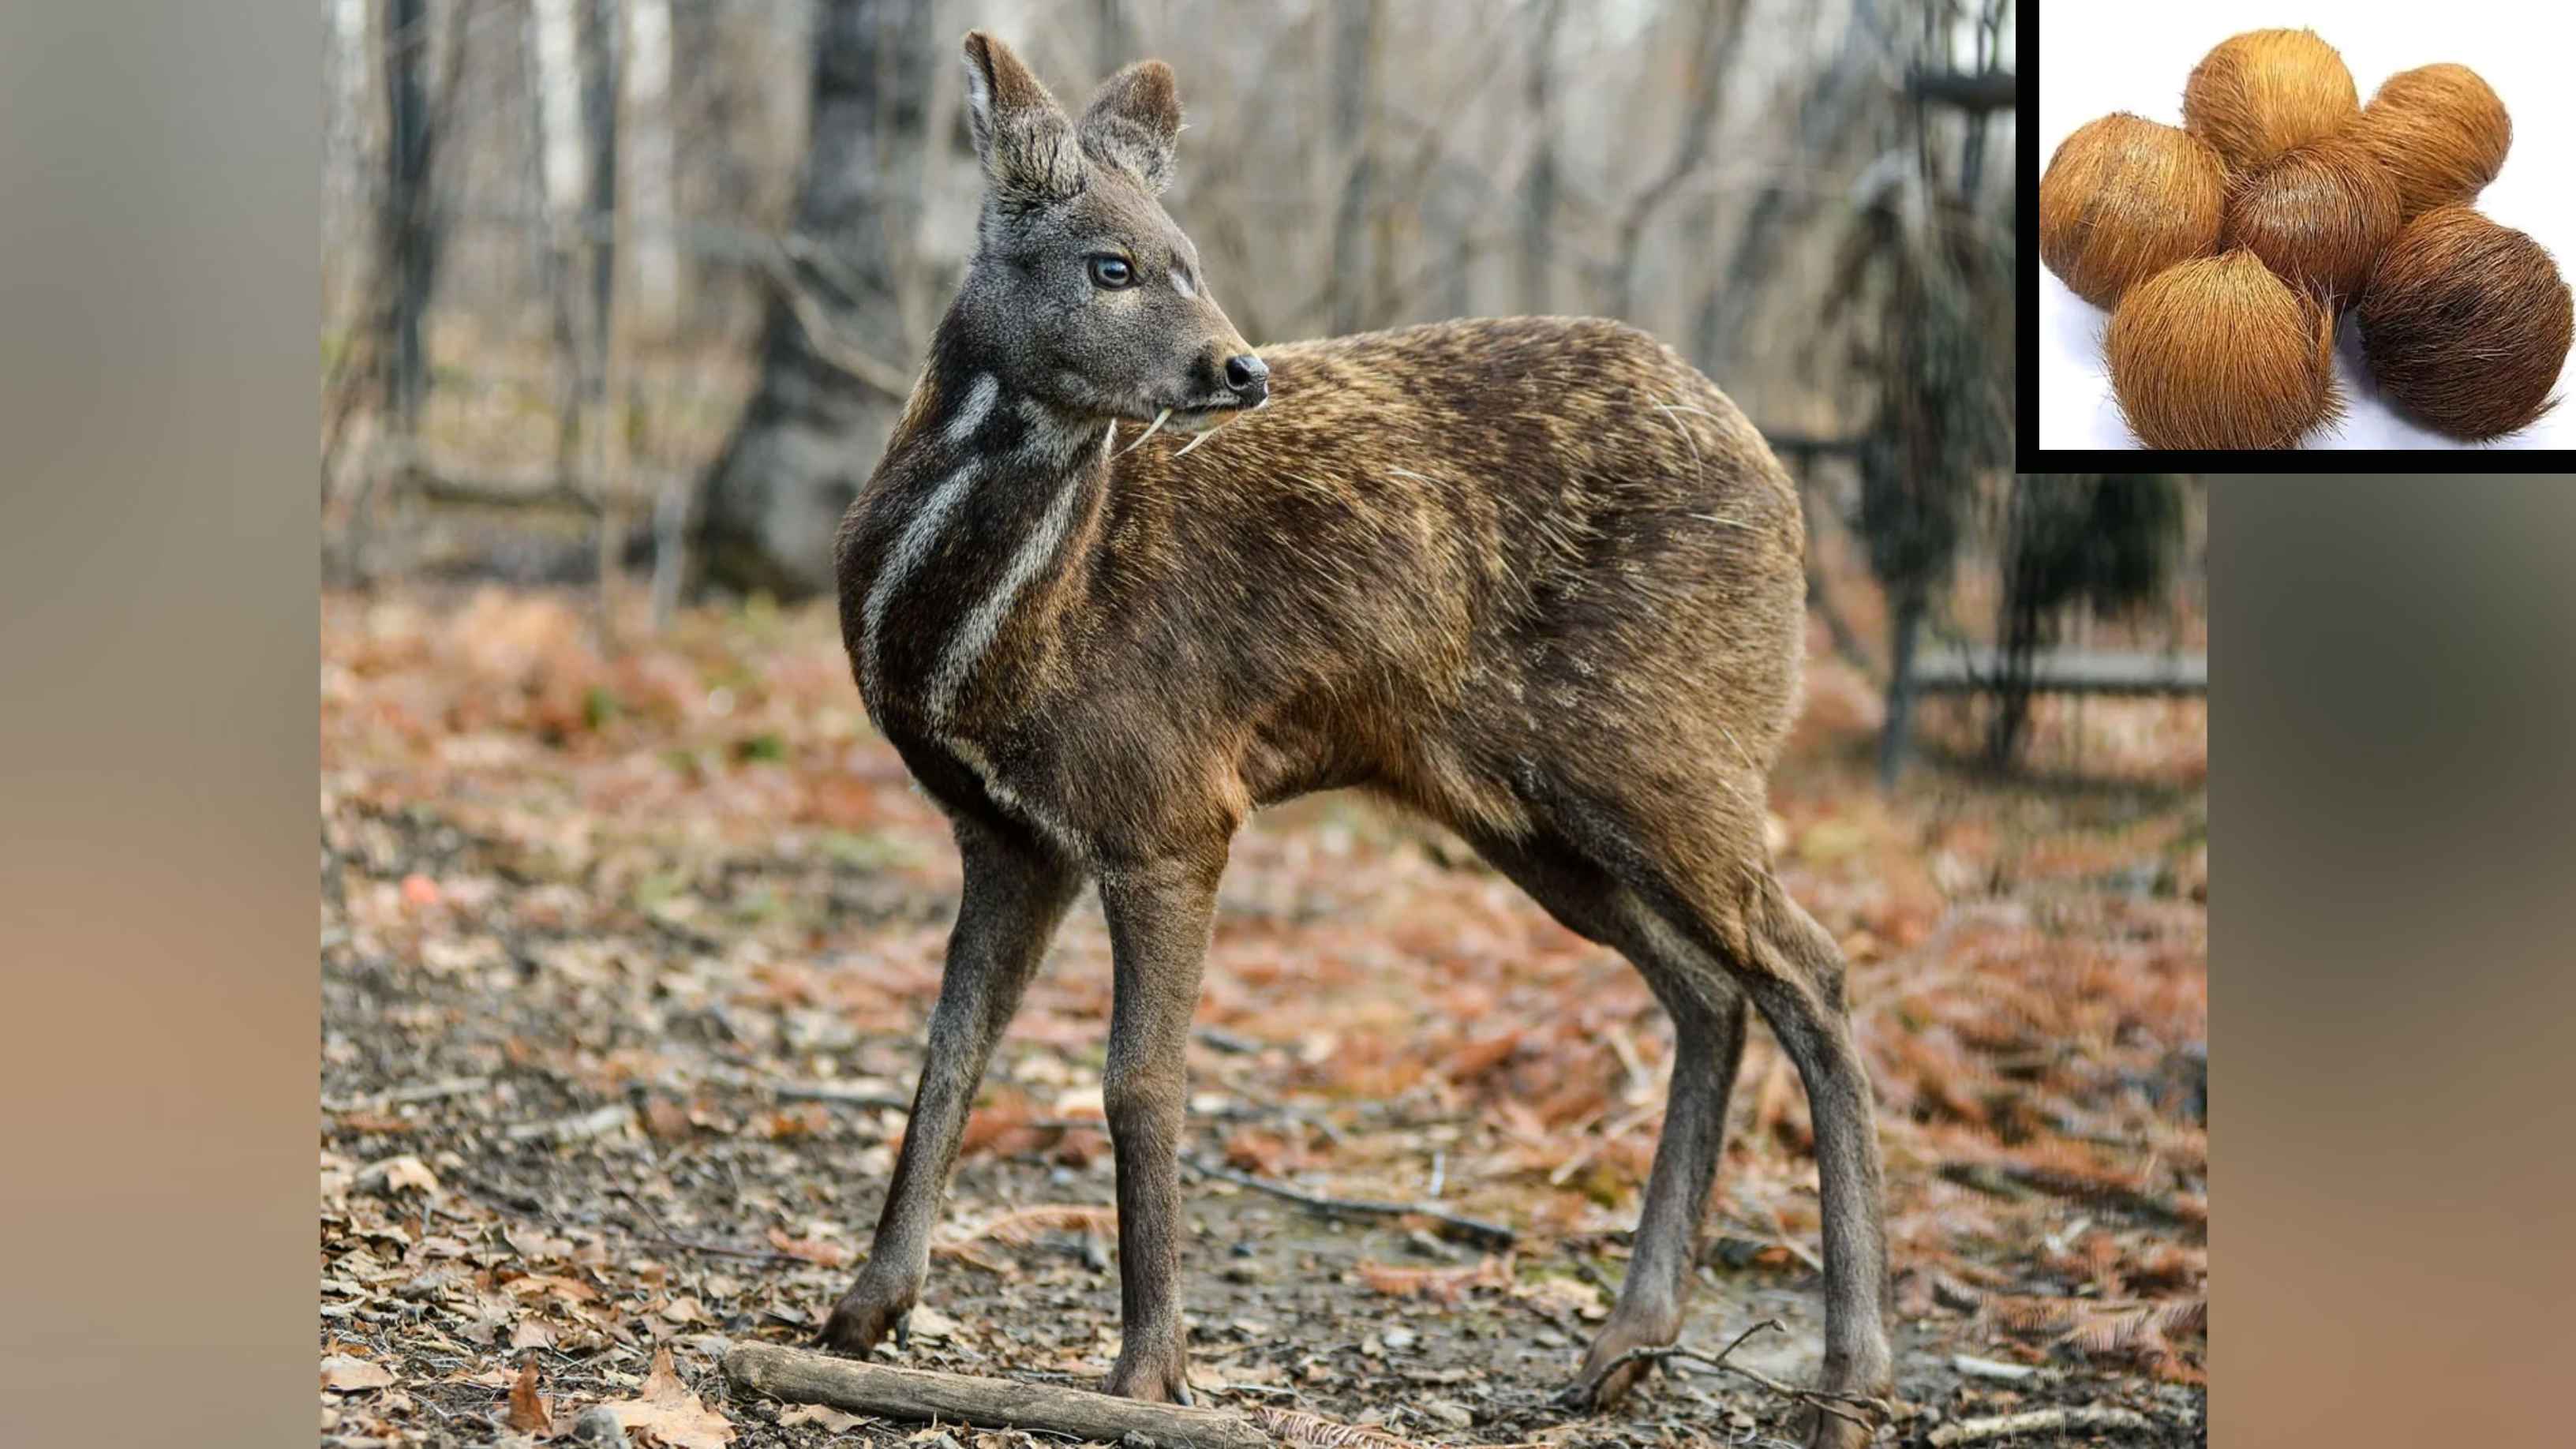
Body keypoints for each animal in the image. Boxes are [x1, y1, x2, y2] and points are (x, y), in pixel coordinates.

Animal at [818, 31, 1893, 1448]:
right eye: (1110, 264)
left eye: (1188, 255)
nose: (1238, 369)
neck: (990, 642)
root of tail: (1782, 487)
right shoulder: (1007, 834)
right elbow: (950, 1053)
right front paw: (862, 1310)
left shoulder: (1169, 805)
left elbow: (1138, 1082)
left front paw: (1147, 1371)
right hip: (1525, 806)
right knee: (1709, 990)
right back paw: (1622, 1346)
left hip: (1671, 748)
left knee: (1810, 970)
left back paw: (1848, 1379)